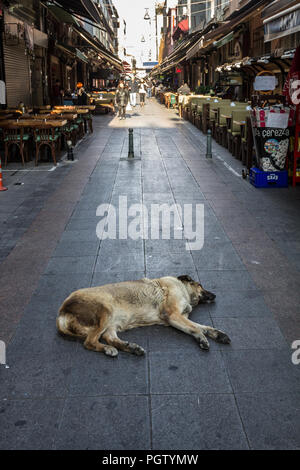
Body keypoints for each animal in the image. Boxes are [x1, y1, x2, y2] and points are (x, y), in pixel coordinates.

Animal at [56, 274, 230, 358]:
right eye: (201, 285)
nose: (215, 295)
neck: (183, 289)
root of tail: (62, 311)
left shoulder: (180, 318)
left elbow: (203, 326)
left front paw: (217, 334)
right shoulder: (173, 315)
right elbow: (196, 328)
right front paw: (202, 338)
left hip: (113, 323)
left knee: (108, 337)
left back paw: (131, 348)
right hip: (106, 310)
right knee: (89, 342)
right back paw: (108, 349)